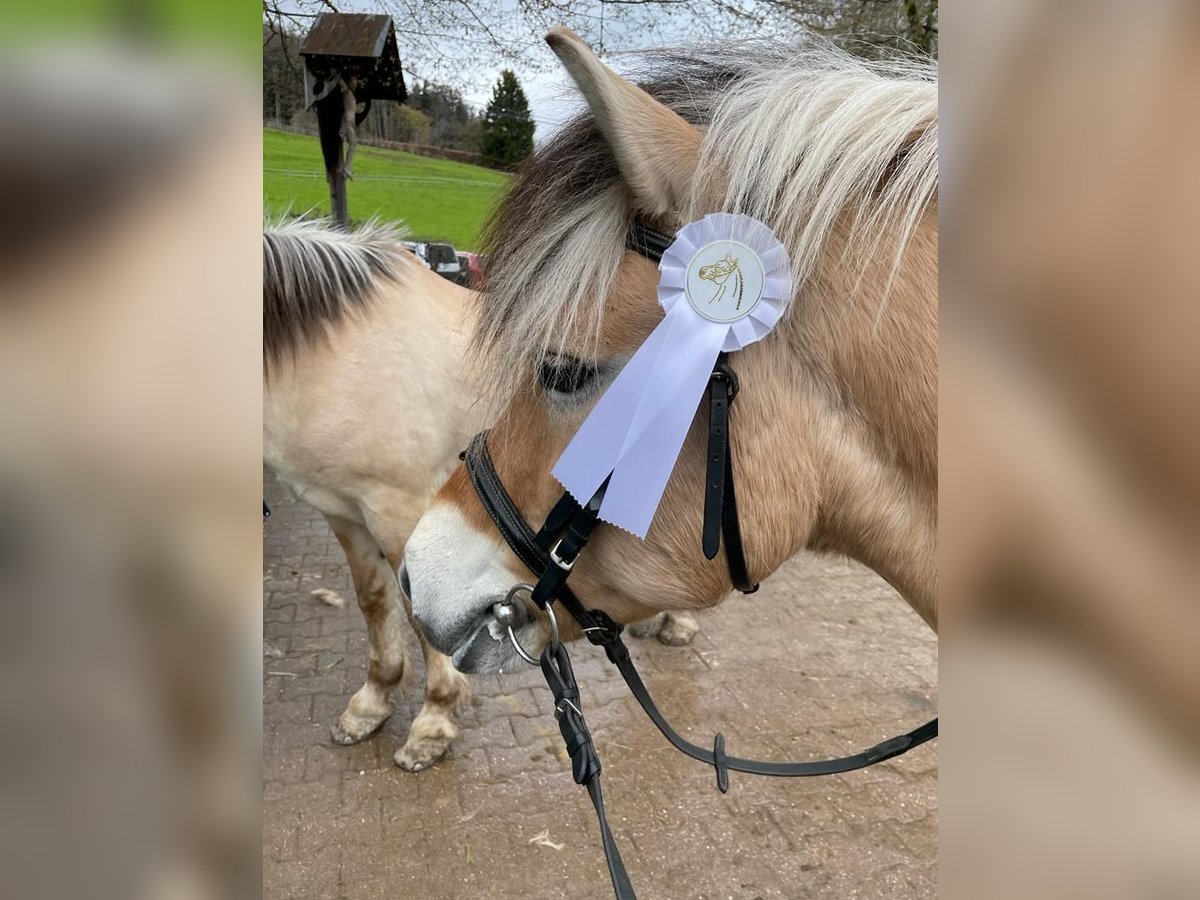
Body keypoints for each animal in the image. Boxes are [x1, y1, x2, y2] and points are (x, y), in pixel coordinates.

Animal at [259, 217, 700, 768]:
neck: (336, 350)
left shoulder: (396, 509)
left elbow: (418, 614)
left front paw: (433, 721)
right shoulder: (343, 512)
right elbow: (374, 601)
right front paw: (373, 702)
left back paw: (679, 623)